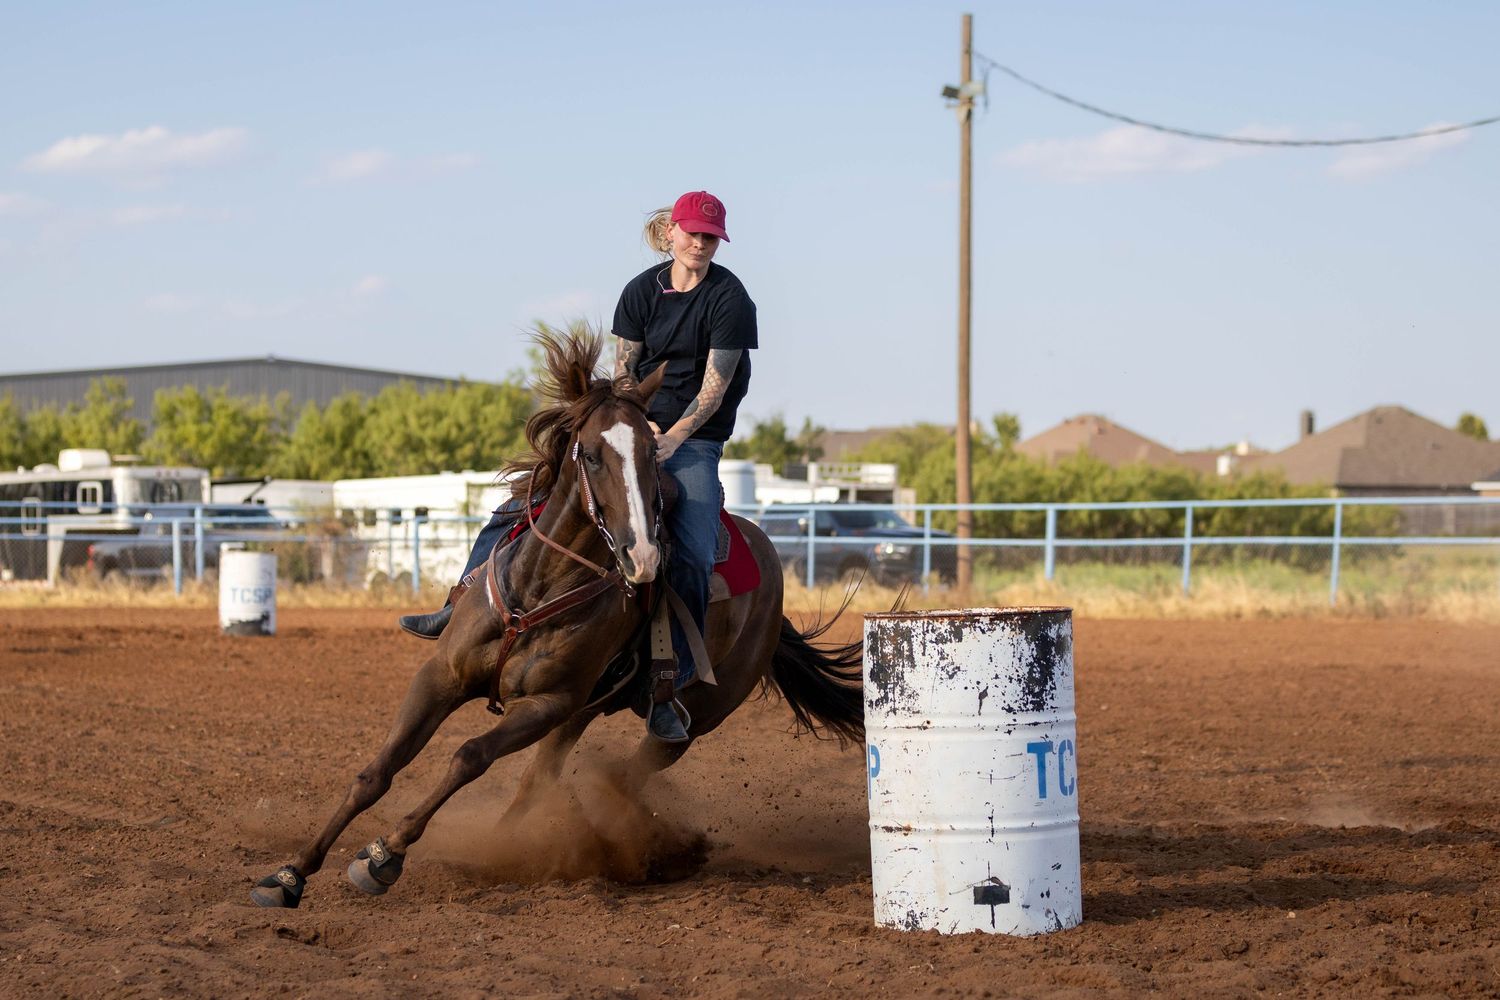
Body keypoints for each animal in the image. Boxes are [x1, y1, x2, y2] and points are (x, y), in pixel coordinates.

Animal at [250, 329, 864, 908]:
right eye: (590, 454)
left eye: (652, 454)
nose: (643, 558)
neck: (539, 587)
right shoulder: (443, 678)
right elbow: (377, 771)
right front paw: (289, 874)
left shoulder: (544, 704)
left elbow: (469, 756)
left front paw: (384, 855)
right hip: (580, 711)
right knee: (539, 782)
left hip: (686, 718)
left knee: (622, 775)